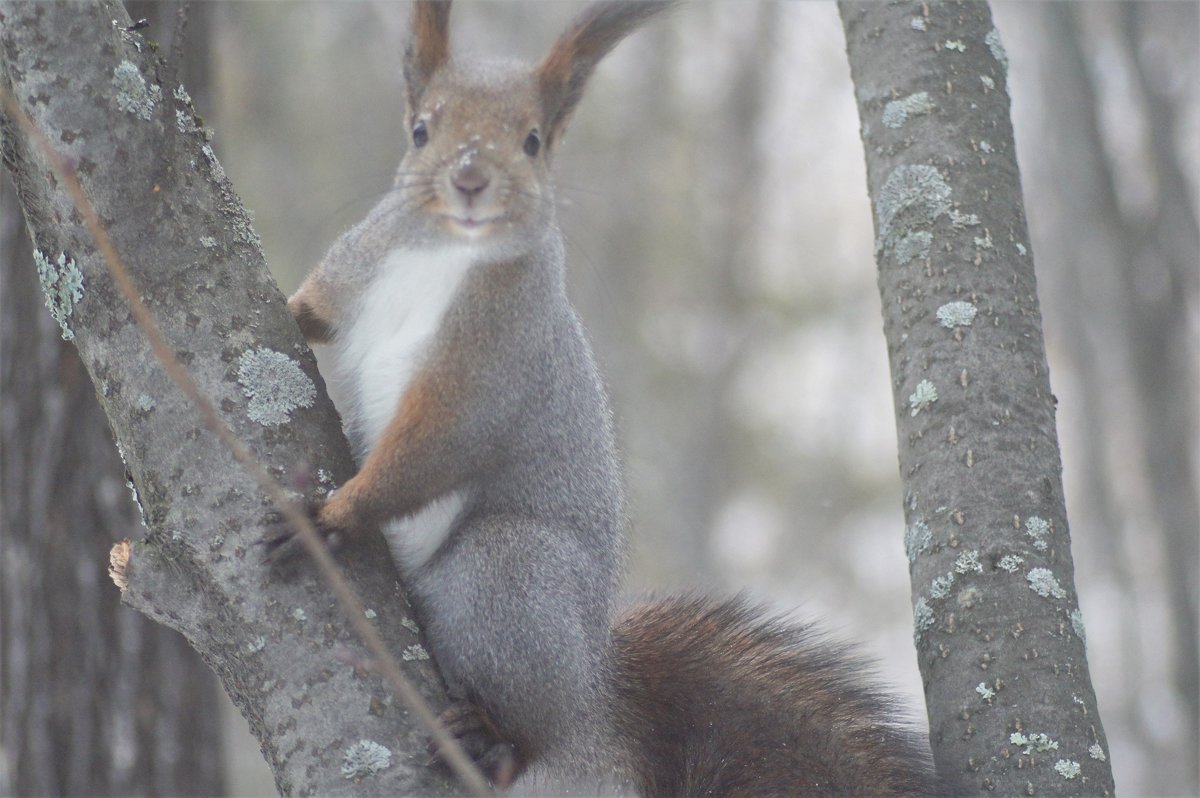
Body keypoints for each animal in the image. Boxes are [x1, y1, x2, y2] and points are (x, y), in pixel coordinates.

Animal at [272, 3, 936, 792]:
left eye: (532, 141)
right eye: (422, 130)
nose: (471, 181)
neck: (445, 255)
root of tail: (592, 686)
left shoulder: (497, 364)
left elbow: (430, 451)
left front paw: (329, 516)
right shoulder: (357, 270)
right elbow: (314, 313)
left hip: (511, 575)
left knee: (529, 722)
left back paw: (494, 739)